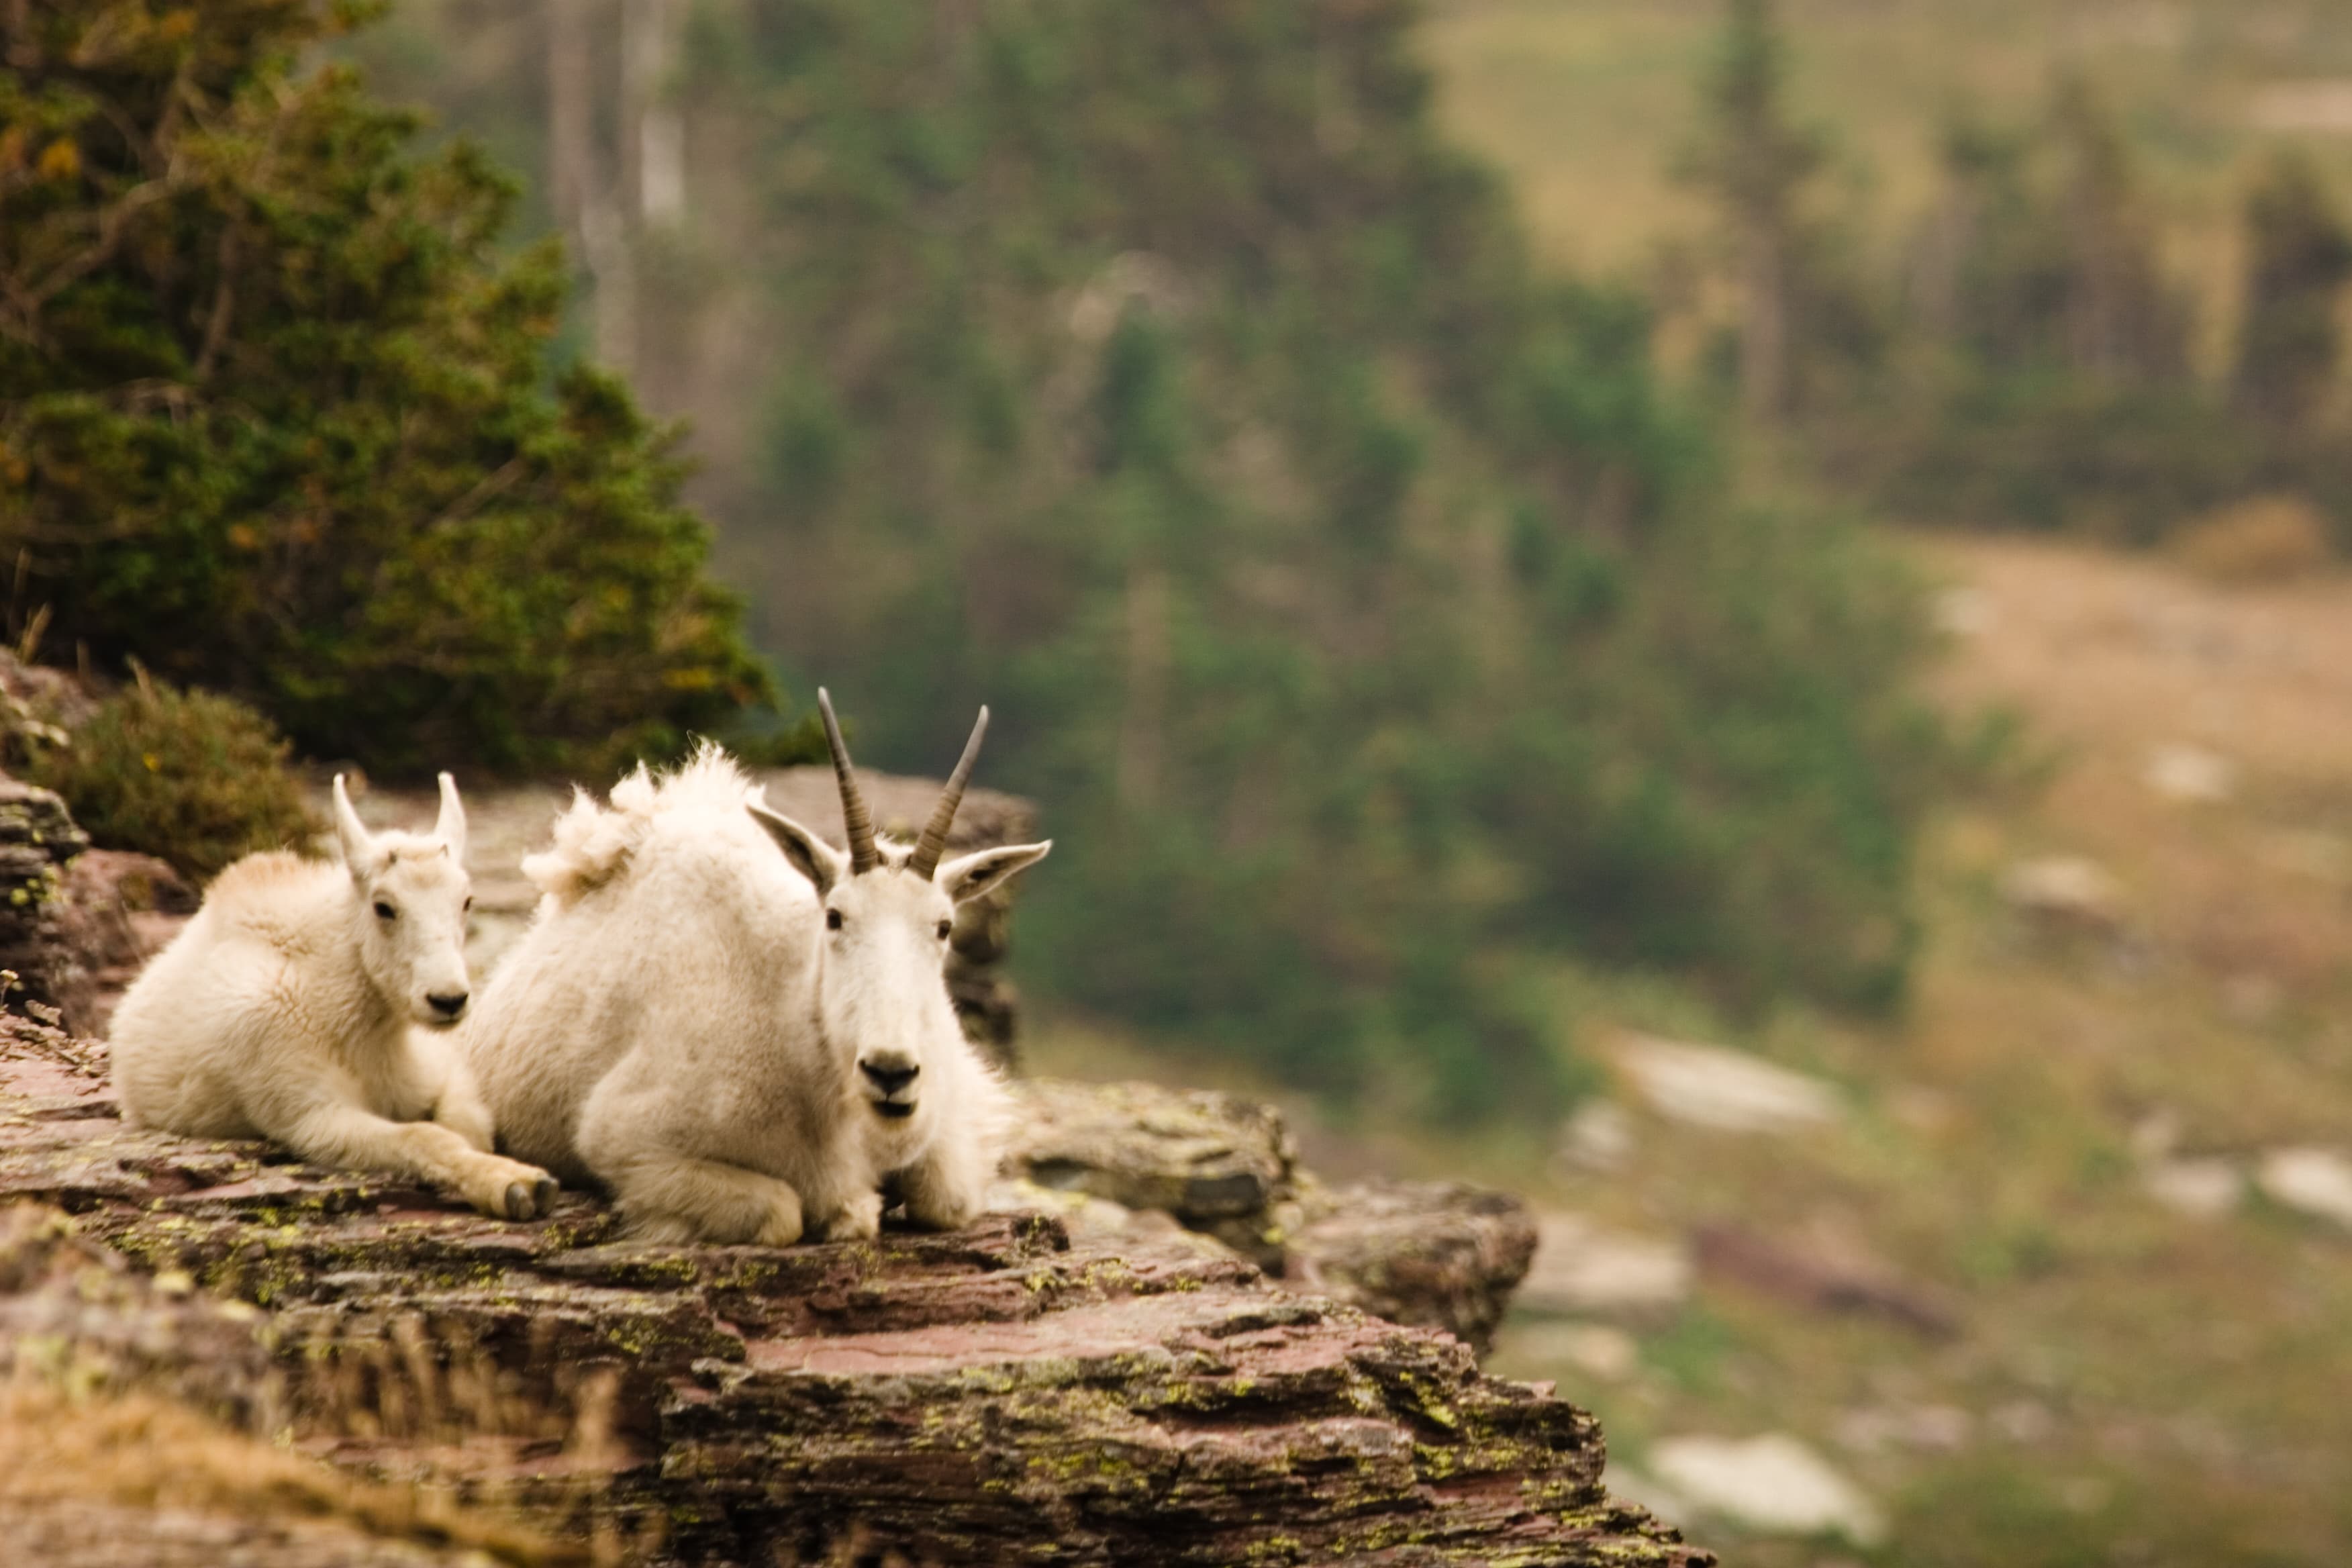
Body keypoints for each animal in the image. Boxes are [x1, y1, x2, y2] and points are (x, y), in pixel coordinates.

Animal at [109, 775, 559, 1220]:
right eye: (383, 907)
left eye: (466, 901)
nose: (448, 1000)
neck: (363, 1024)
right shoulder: (310, 1114)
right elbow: (426, 1137)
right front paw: (518, 1185)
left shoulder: (445, 1070)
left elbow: (468, 1126)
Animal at [462, 695, 1049, 1244]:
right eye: (834, 916)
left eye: (945, 926)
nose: (891, 1072)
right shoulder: (625, 1142)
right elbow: (784, 1213)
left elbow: (943, 1199)